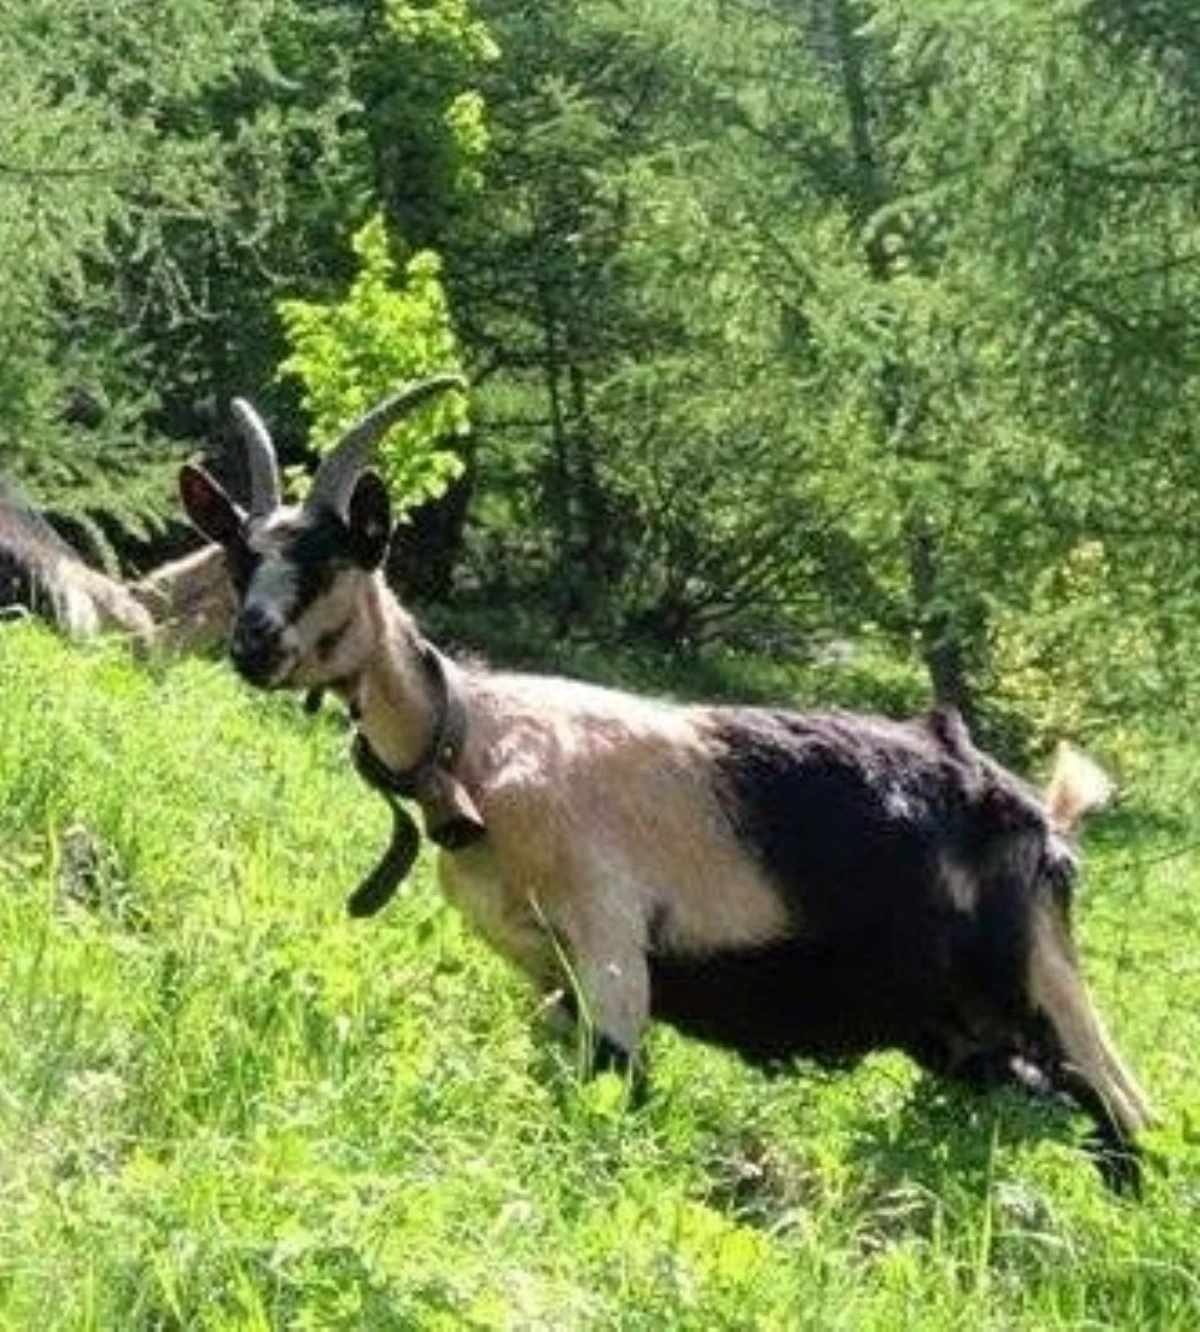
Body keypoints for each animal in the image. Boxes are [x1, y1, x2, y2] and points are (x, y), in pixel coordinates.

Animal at [179, 381, 1154, 1191]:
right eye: (238, 560)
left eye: (329, 559)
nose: (254, 644)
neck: (477, 742)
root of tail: (1041, 818)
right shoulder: (544, 973)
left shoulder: (611, 942)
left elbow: (612, 1095)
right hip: (957, 1026)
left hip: (1040, 976)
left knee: (1125, 1113)